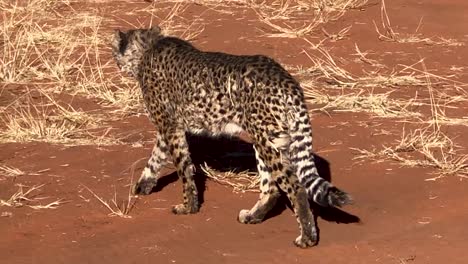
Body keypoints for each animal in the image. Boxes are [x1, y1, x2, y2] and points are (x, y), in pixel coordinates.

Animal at [110, 26, 352, 248]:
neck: (147, 47)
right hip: (269, 141)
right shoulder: (169, 127)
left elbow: (183, 168)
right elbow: (156, 157)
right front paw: (144, 184)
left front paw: (188, 207)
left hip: (266, 140)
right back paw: (253, 216)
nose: (115, 62)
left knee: (296, 187)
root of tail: (285, 79)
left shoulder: (170, 127)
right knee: (272, 188)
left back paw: (307, 238)